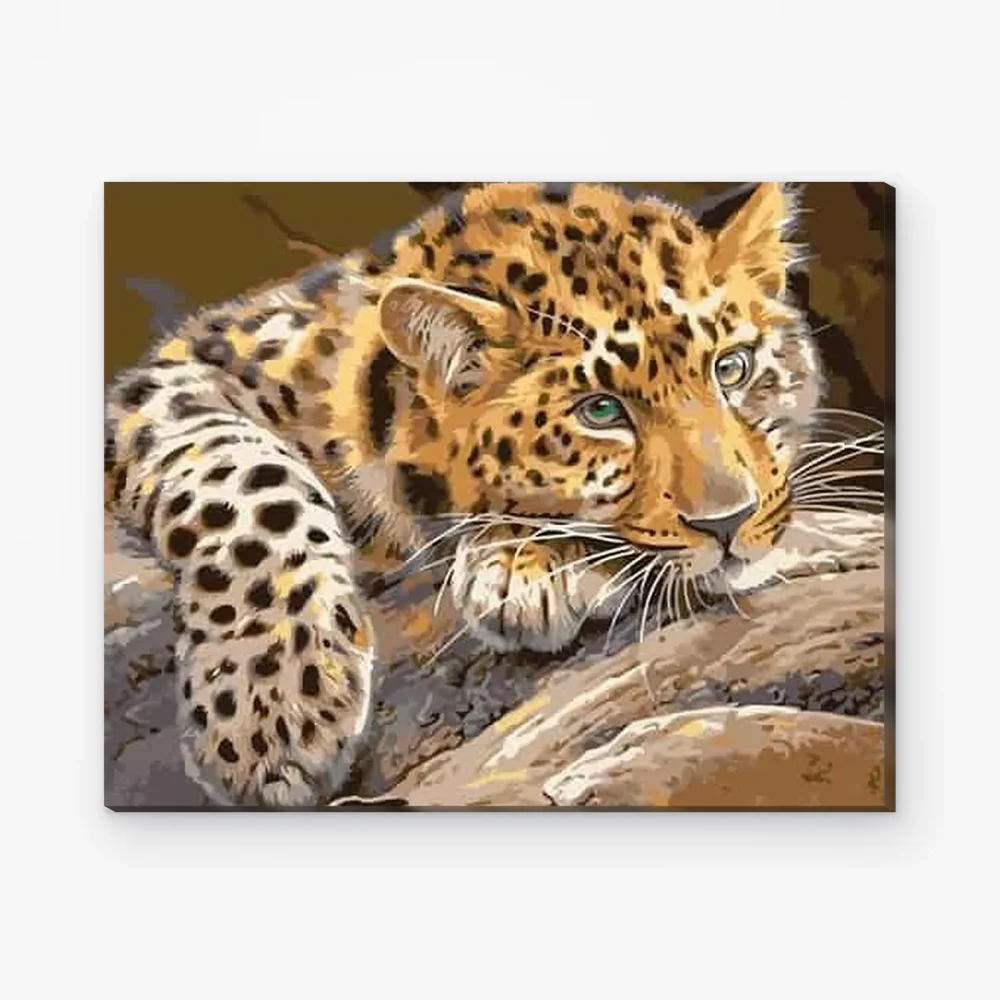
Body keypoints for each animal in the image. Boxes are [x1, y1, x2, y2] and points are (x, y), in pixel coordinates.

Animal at [104, 181, 822, 807]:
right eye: (599, 411)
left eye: (732, 368)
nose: (731, 521)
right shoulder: (178, 377)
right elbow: (245, 477)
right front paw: (272, 702)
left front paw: (524, 564)